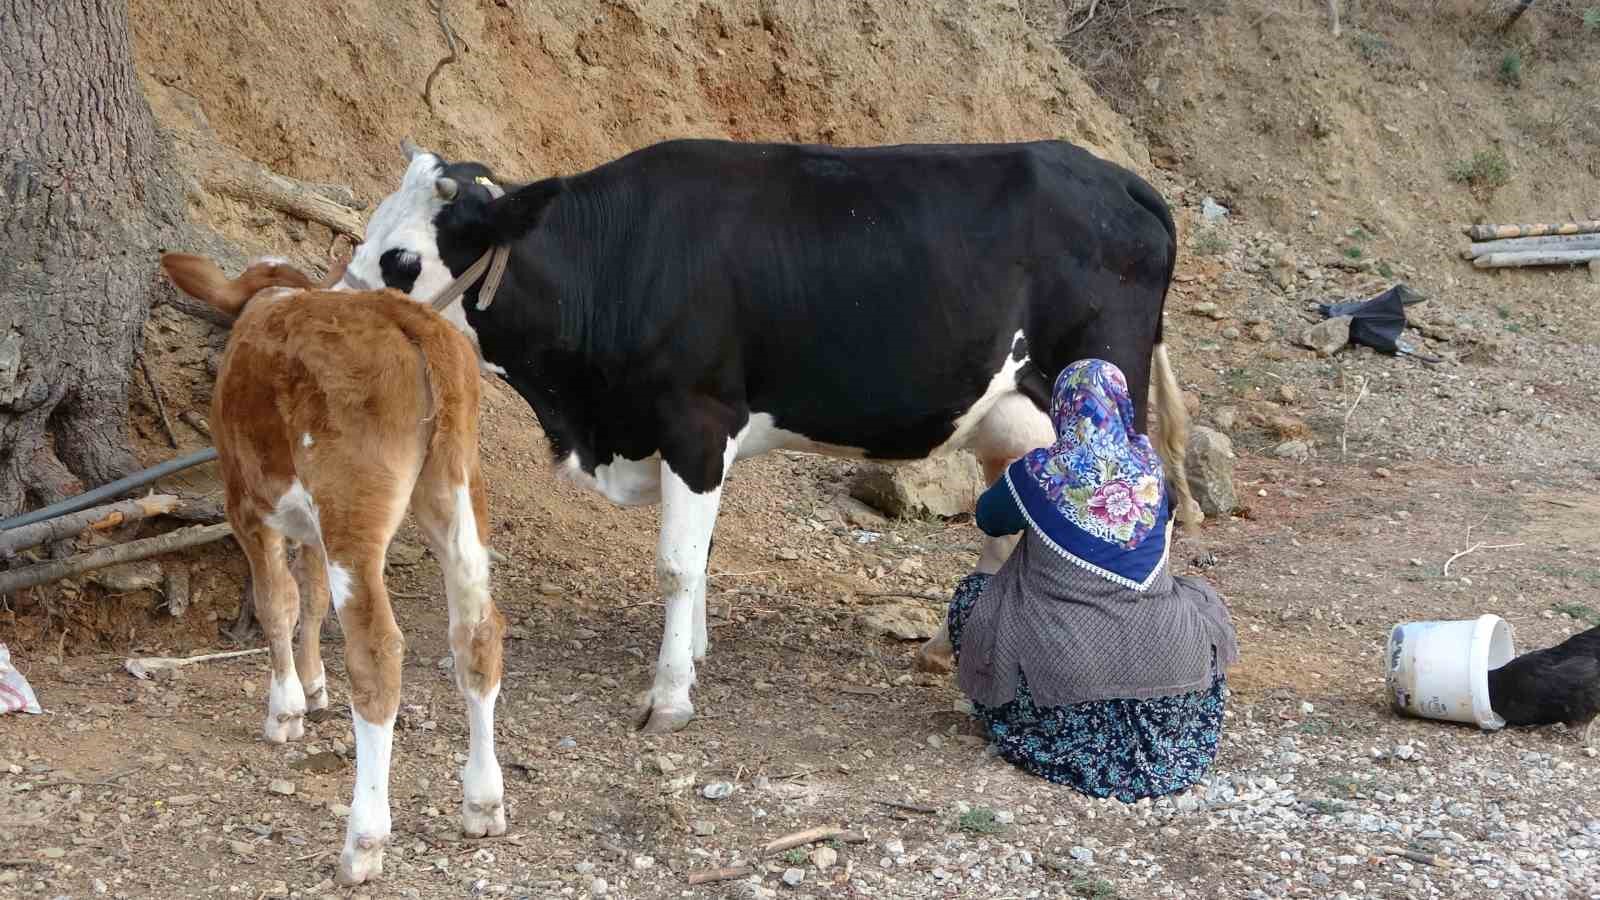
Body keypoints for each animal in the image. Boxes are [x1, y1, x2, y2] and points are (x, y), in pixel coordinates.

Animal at [156, 248, 505, 877]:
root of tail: (405, 316)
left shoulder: (246, 504)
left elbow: (278, 602)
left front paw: (287, 710)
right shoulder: (311, 526)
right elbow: (311, 596)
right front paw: (314, 685)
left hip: (353, 508)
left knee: (377, 650)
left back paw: (364, 839)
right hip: (457, 491)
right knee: (479, 632)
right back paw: (483, 802)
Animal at [344, 138, 1196, 730]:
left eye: (402, 257)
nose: (339, 317)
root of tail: (1116, 175)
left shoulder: (695, 423)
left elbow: (675, 565)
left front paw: (669, 696)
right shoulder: (693, 443)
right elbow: (700, 558)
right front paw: (692, 653)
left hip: (1104, 391)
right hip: (1012, 414)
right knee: (1006, 525)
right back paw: (948, 651)